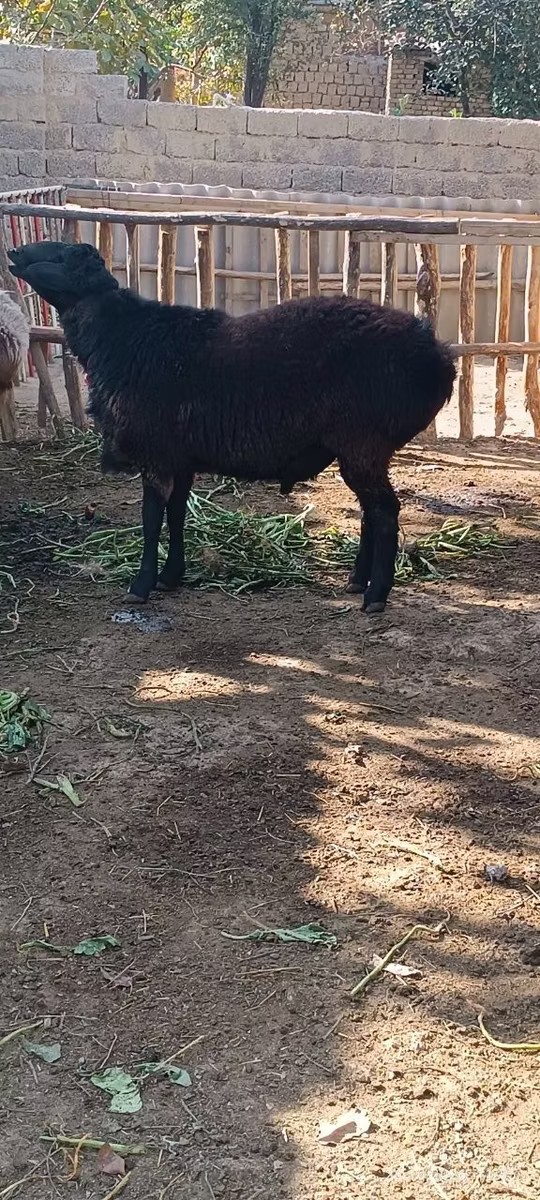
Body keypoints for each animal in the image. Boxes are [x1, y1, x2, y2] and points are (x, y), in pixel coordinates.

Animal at [8, 239, 456, 613]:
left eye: (63, 255)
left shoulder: (156, 453)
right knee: (370, 511)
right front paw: (171, 577)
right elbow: (176, 514)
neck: (120, 338)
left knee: (385, 511)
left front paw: (141, 584)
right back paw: (357, 581)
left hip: (363, 442)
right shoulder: (180, 458)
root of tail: (437, 356)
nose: (15, 251)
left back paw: (377, 594)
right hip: (359, 449)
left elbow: (151, 520)